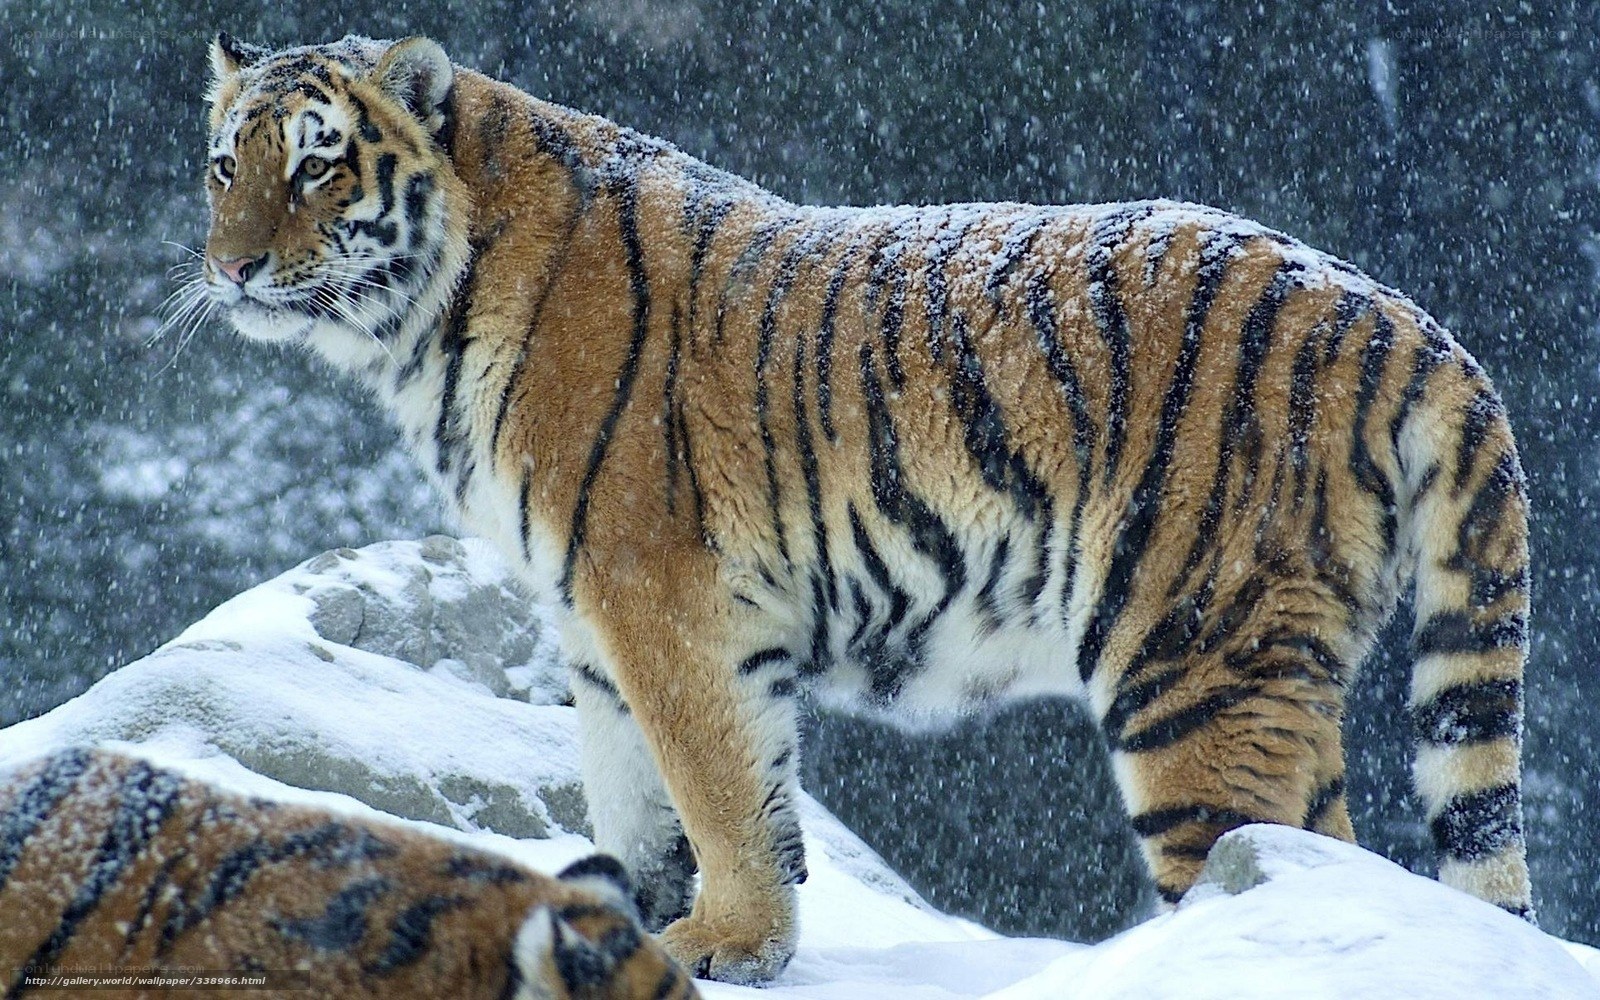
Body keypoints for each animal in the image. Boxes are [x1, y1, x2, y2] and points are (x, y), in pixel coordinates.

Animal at [190, 32, 1536, 983]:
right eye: (224, 164)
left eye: (317, 161)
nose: (232, 267)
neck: (420, 324)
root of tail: (1398, 315)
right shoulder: (593, 622)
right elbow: (644, 789)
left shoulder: (659, 596)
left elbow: (715, 785)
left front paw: (726, 941)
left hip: (1192, 656)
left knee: (1257, 864)